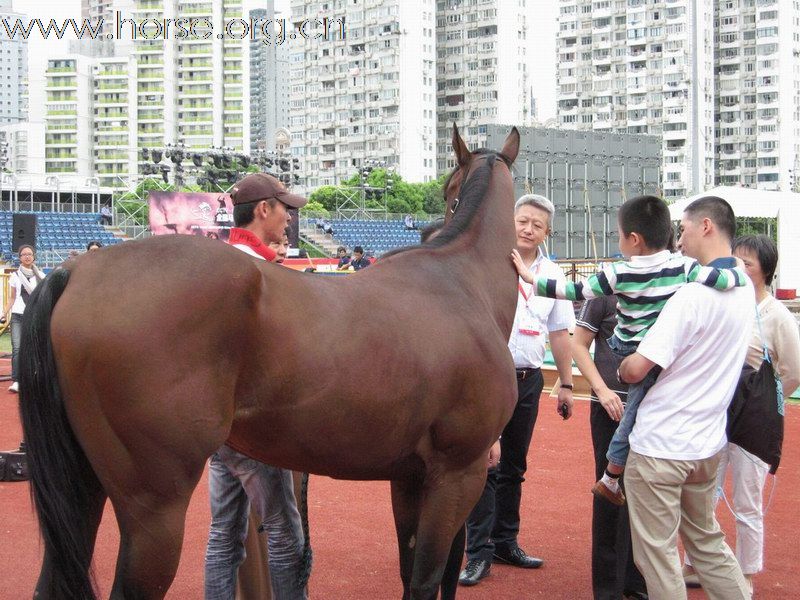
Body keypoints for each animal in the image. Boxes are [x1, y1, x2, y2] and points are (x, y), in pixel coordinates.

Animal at [18, 124, 520, 596]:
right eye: (450, 191)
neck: (461, 281)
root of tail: (77, 270)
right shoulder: (458, 473)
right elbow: (427, 578)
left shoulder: (412, 477)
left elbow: (411, 570)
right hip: (154, 507)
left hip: (82, 488)